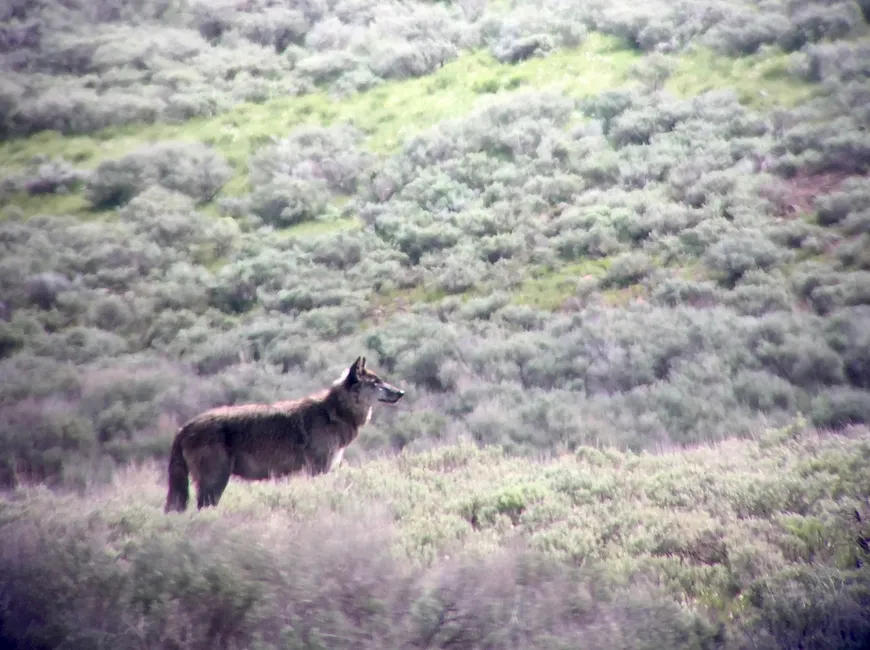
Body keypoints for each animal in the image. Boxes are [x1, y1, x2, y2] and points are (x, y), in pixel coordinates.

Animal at [164, 357, 404, 513]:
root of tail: (183, 428)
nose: (401, 393)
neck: (333, 413)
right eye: (376, 383)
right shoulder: (318, 468)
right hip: (215, 482)